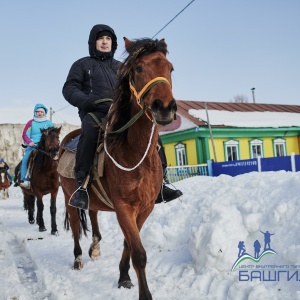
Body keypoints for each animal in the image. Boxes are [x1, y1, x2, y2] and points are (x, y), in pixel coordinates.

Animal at [58, 37, 176, 300]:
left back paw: (94, 248)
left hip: (94, 200)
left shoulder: (145, 208)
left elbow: (129, 244)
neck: (134, 153)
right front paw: (145, 294)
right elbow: (139, 252)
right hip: (68, 196)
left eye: (170, 68)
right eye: (138, 68)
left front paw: (123, 277)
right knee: (75, 226)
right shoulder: (124, 207)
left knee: (92, 214)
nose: (164, 107)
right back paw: (78, 258)